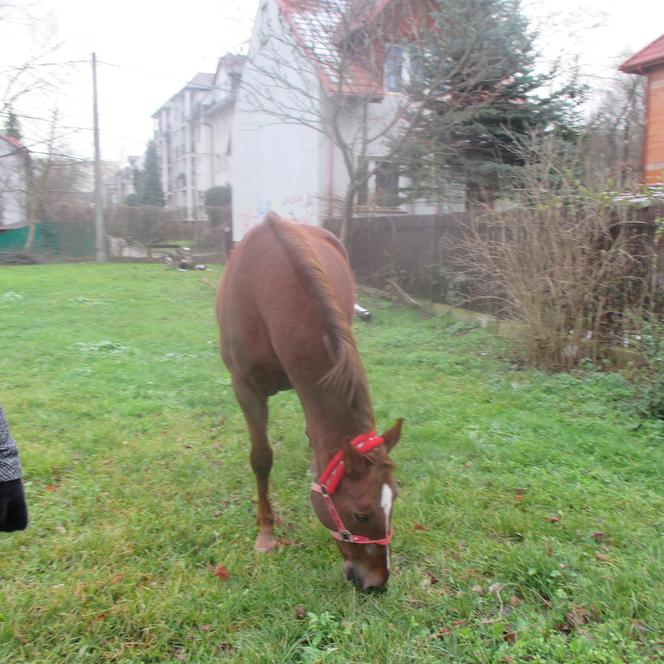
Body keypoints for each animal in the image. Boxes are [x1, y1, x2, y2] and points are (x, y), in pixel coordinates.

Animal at [218, 214, 402, 592]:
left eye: (394, 502)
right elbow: (261, 459)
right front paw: (266, 535)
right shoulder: (245, 387)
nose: (377, 584)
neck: (264, 291)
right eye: (362, 514)